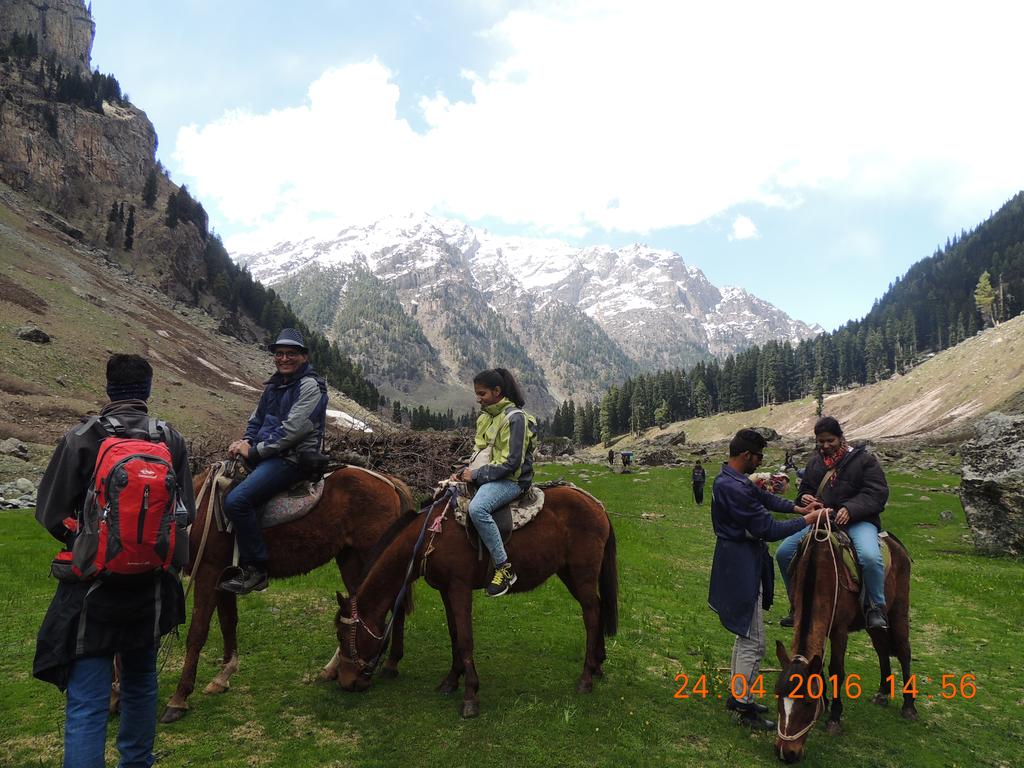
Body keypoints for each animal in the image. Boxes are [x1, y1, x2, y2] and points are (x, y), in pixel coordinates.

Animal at [157, 466, 413, 724]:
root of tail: (388, 482)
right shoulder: (223, 577)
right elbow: (228, 623)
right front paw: (222, 677)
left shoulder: (208, 572)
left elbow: (197, 633)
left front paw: (178, 699)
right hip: (349, 558)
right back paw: (335, 668)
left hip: (374, 552)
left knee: (396, 604)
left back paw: (390, 664)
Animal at [333, 487, 614, 720]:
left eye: (343, 635)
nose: (345, 682)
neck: (431, 537)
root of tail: (596, 504)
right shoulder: (445, 590)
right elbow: (454, 634)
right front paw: (450, 681)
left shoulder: (459, 587)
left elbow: (466, 639)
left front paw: (470, 695)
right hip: (569, 574)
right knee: (599, 608)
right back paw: (598, 665)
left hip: (582, 574)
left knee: (591, 615)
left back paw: (586, 678)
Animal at [770, 524, 917, 765]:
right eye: (778, 698)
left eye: (807, 703)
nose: (786, 752)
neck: (821, 575)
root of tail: (897, 545)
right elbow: (819, 666)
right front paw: (826, 702)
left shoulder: (839, 631)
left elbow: (836, 670)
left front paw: (834, 717)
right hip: (873, 622)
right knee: (881, 649)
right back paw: (883, 693)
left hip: (898, 609)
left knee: (904, 652)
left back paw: (909, 705)